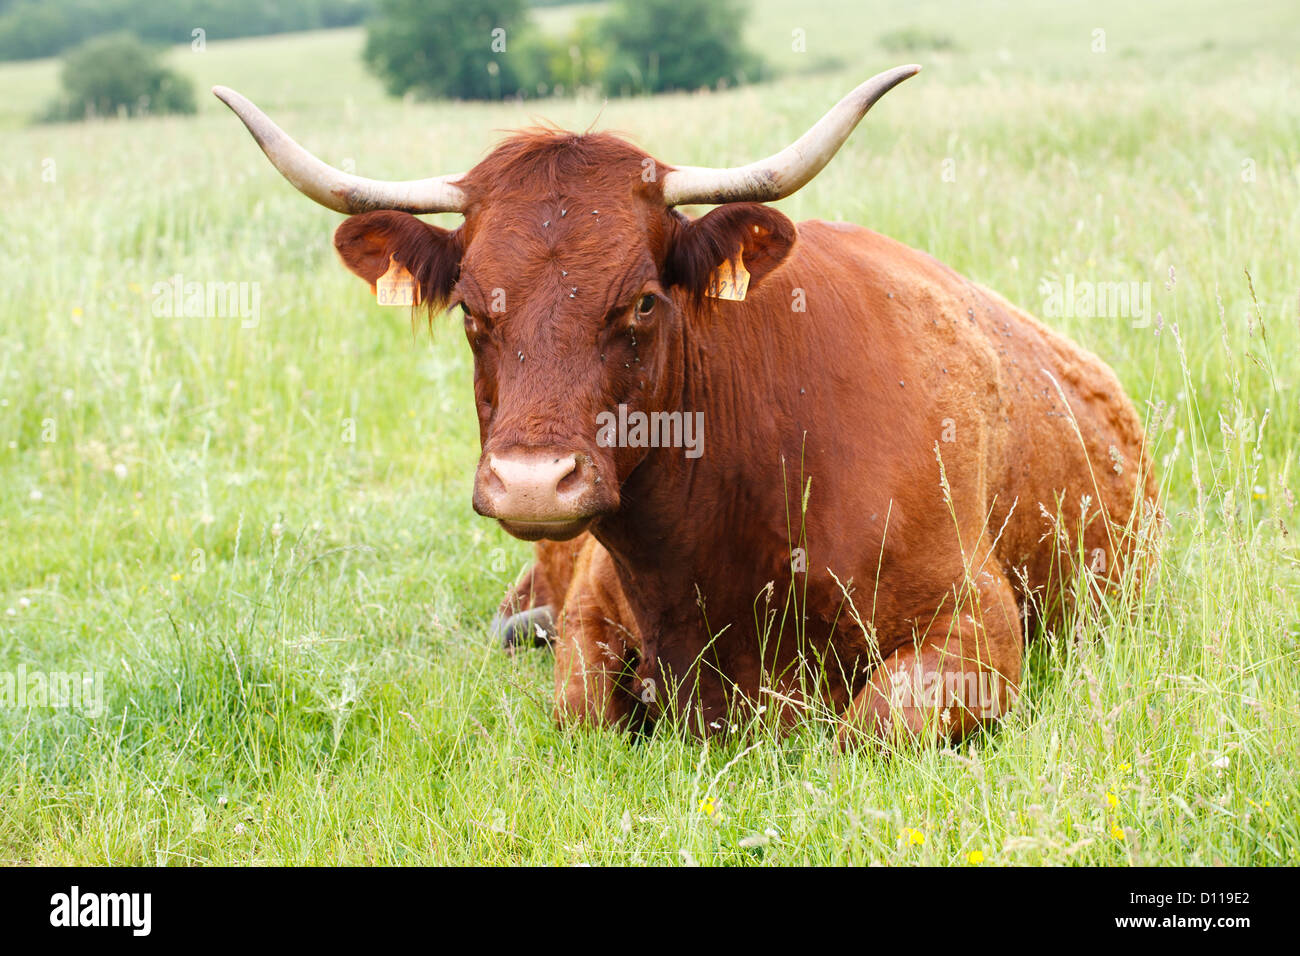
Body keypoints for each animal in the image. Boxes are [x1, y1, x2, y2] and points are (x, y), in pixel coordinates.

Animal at [215, 69, 1159, 749]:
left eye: (641, 300)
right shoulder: (594, 610)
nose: (532, 483)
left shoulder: (979, 628)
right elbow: (583, 712)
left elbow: (867, 732)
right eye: (473, 311)